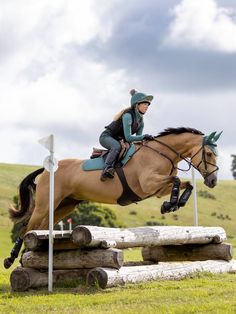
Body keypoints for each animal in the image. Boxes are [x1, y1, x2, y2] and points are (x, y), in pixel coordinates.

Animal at [4, 127, 221, 268]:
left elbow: (185, 183)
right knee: (27, 227)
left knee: (39, 229)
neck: (162, 153)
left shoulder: (158, 189)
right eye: (209, 154)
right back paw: (11, 259)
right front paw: (170, 205)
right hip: (46, 204)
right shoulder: (148, 184)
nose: (213, 181)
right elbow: (176, 179)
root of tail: (46, 169)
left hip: (65, 205)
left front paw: (173, 204)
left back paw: (27, 257)